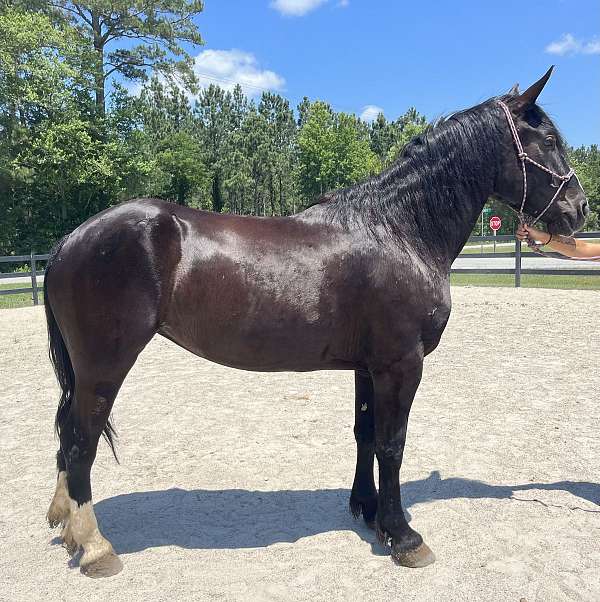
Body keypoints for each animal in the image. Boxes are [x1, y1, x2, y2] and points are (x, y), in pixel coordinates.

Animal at [45, 70, 584, 576]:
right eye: (548, 139)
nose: (578, 209)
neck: (398, 231)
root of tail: (71, 240)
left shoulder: (369, 367)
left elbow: (365, 433)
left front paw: (369, 512)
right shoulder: (401, 364)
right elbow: (392, 443)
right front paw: (404, 536)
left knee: (68, 435)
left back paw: (67, 524)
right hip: (104, 366)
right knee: (81, 440)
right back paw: (95, 547)